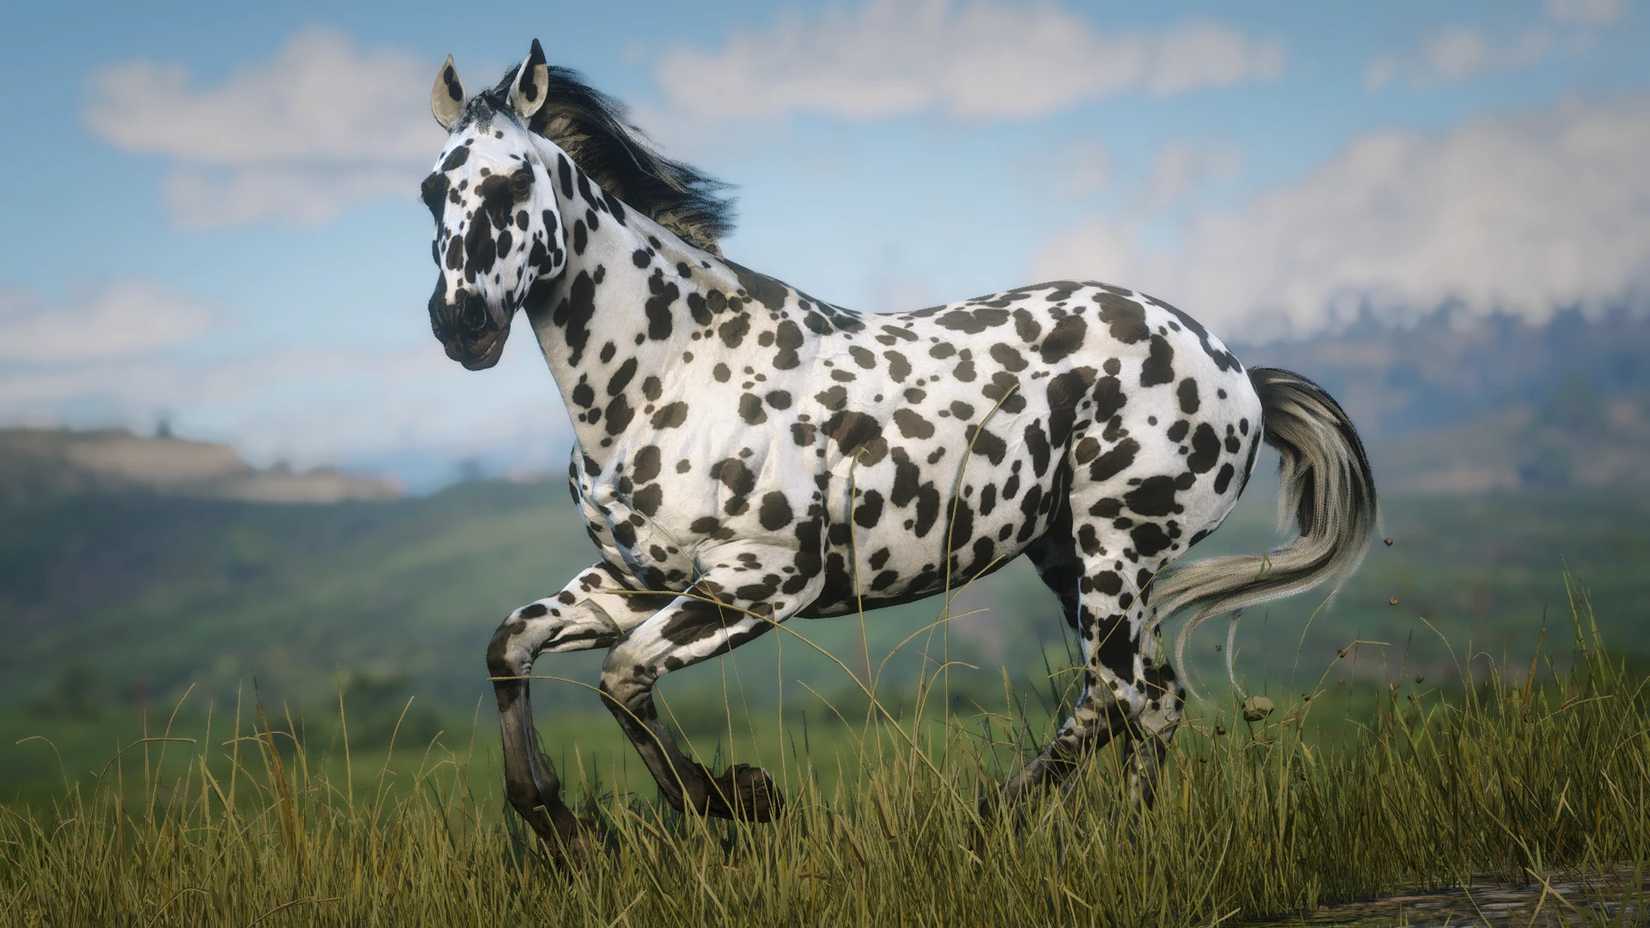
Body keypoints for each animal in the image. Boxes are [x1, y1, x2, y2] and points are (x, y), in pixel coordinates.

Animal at [420, 40, 1377, 850]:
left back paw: (1049, 827)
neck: (672, 370)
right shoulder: (634, 580)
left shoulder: (763, 582)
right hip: (1068, 554)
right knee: (1139, 703)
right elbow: (511, 646)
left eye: (512, 183)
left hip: (1117, 551)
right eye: (433, 191)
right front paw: (557, 822)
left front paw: (738, 800)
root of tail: (1239, 374)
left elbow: (622, 677)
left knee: (1124, 698)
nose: (461, 324)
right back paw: (1061, 827)